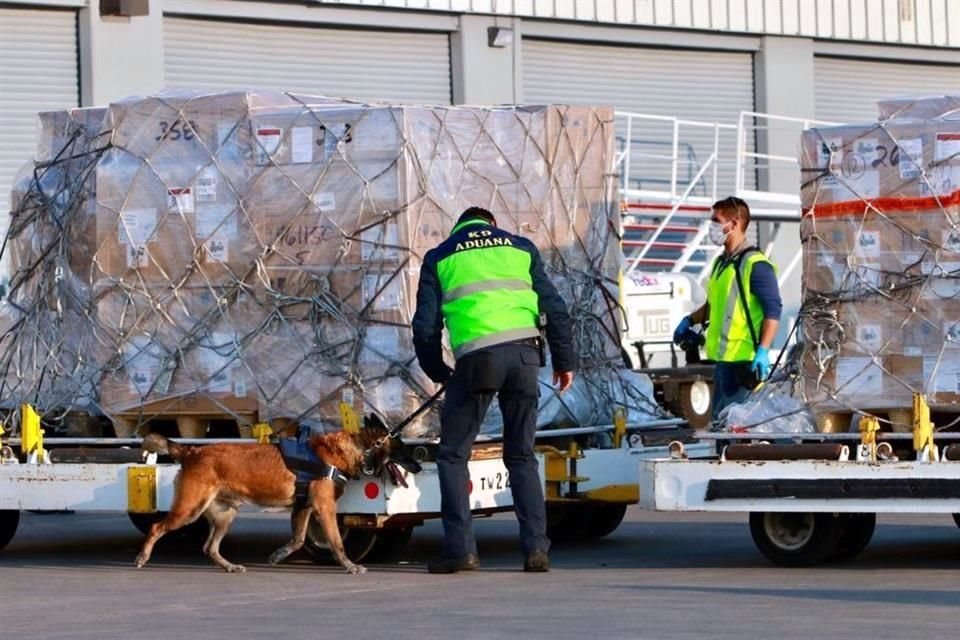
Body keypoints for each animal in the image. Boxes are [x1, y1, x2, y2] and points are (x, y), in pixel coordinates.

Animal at [133, 420, 392, 576]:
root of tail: (192, 451)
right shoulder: (324, 508)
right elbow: (336, 542)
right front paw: (350, 565)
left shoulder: (303, 508)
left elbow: (298, 539)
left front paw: (278, 555)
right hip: (190, 510)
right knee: (157, 528)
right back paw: (142, 556)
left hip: (226, 514)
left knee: (210, 547)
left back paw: (229, 566)